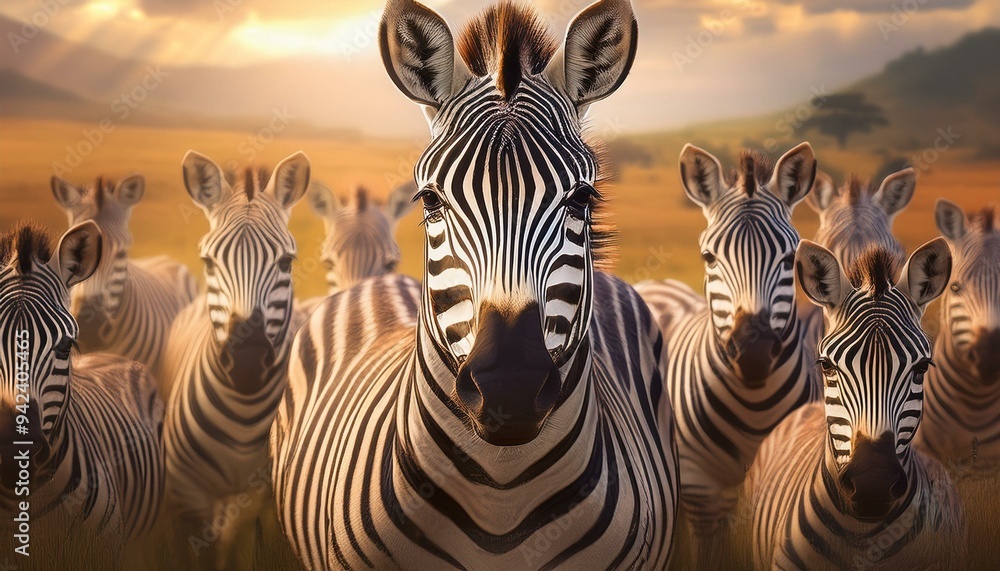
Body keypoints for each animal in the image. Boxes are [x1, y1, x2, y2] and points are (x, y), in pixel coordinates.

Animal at [161, 151, 309, 569]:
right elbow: (196, 554)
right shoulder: (187, 495)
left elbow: (234, 553)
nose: (246, 364)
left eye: (286, 263)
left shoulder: (251, 501)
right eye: (209, 262)